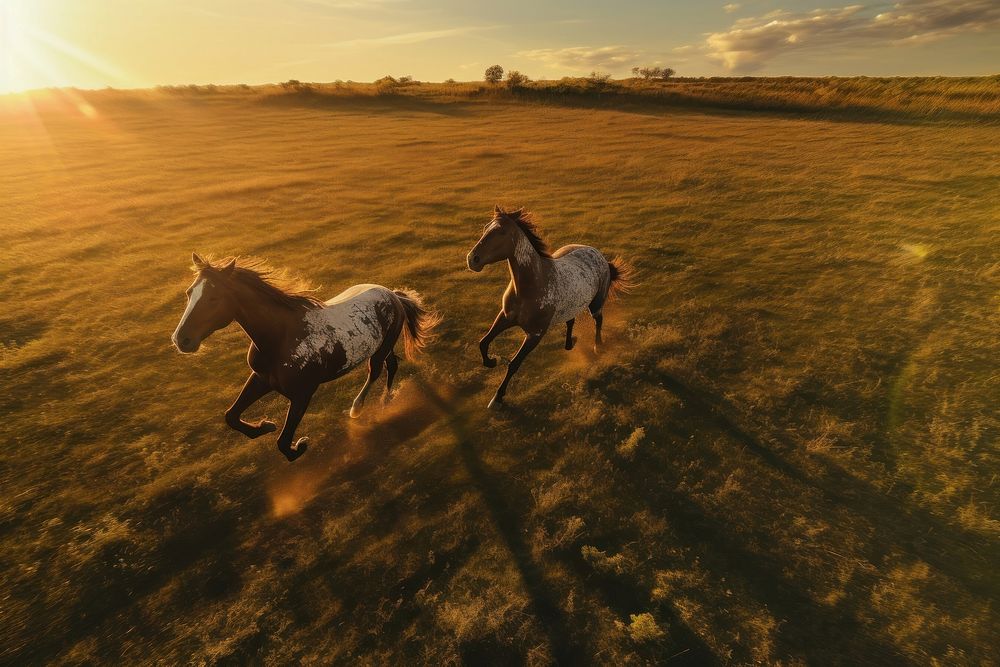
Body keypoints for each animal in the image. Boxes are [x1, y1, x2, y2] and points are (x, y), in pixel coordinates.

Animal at [170, 253, 440, 462]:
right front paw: (264, 426)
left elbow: (282, 442)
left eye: (213, 298)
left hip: (381, 348)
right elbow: (231, 416)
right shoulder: (261, 379)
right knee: (392, 365)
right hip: (383, 347)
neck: (281, 338)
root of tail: (394, 295)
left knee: (376, 371)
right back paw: (386, 399)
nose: (180, 340)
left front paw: (299, 444)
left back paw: (359, 408)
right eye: (189, 293)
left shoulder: (303, 394)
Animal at [466, 206, 632, 410]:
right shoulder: (505, 317)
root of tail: (600, 256)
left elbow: (514, 364)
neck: (532, 286)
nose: (472, 259)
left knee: (598, 321)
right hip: (572, 304)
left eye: (501, 232)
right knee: (571, 321)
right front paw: (491, 362)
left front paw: (497, 397)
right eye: (485, 228)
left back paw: (597, 346)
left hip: (596, 304)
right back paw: (569, 344)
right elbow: (483, 342)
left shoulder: (535, 334)